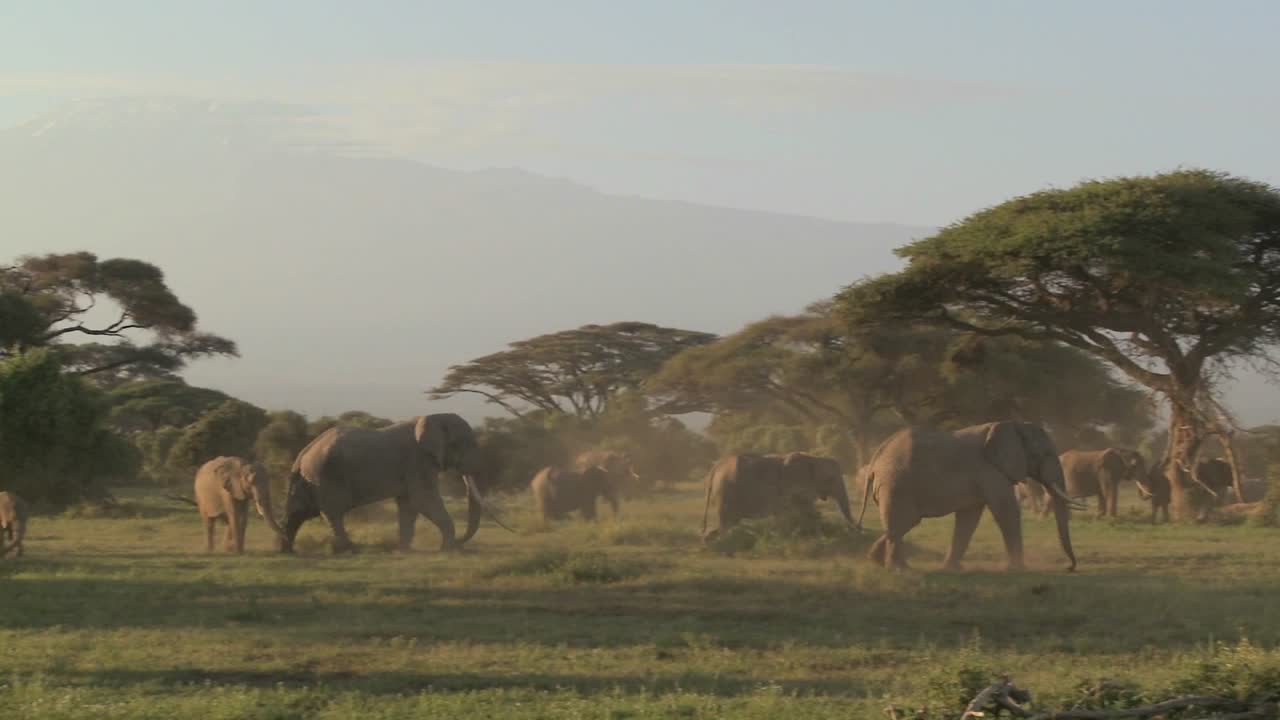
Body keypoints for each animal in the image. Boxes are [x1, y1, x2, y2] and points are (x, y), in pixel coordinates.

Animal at [278, 413, 508, 554]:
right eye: (463, 444)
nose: (461, 543)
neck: (432, 417)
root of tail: (303, 453)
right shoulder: (417, 461)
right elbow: (423, 500)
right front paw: (449, 550)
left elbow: (408, 504)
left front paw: (405, 550)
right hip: (326, 476)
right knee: (333, 513)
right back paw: (349, 550)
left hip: (310, 479)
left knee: (298, 512)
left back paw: (287, 550)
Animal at [701, 451, 856, 541]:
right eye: (831, 479)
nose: (856, 530)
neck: (815, 459)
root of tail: (715, 467)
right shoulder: (794, 485)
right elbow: (798, 513)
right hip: (726, 494)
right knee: (726, 524)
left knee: (728, 523)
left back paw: (709, 541)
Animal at [858, 421, 1081, 571]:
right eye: (1045, 454)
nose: (1069, 567)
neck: (1013, 425)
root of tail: (876, 458)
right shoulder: (990, 470)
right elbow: (1005, 510)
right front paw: (1018, 569)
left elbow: (969, 518)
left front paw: (951, 569)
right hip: (896, 485)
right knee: (902, 524)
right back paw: (899, 569)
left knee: (902, 524)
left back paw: (875, 560)